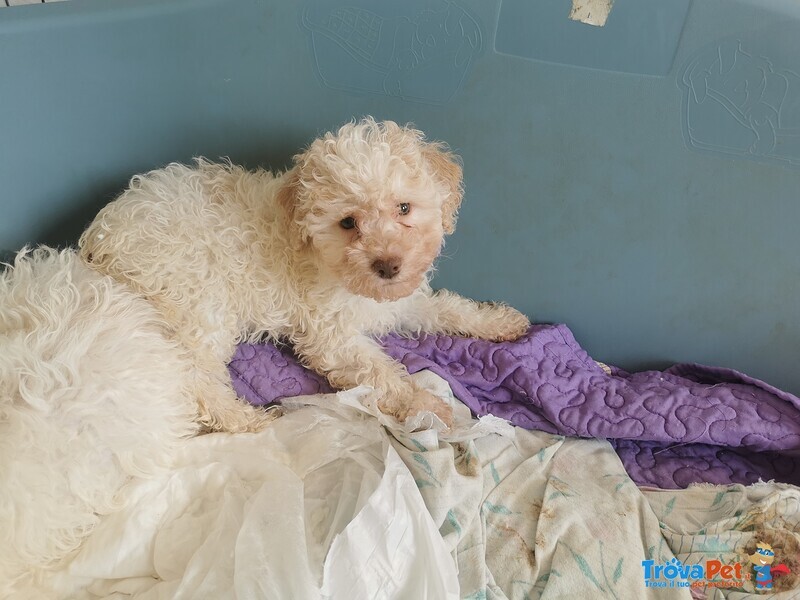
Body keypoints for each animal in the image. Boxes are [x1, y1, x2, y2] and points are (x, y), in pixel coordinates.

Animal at [79, 117, 532, 432]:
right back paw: (245, 420)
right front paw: (429, 406)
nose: (388, 265)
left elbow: (448, 309)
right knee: (195, 378)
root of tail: (100, 237)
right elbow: (381, 373)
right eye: (348, 223)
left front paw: (499, 321)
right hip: (197, 299)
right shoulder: (330, 335)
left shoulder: (402, 301)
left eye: (404, 208)